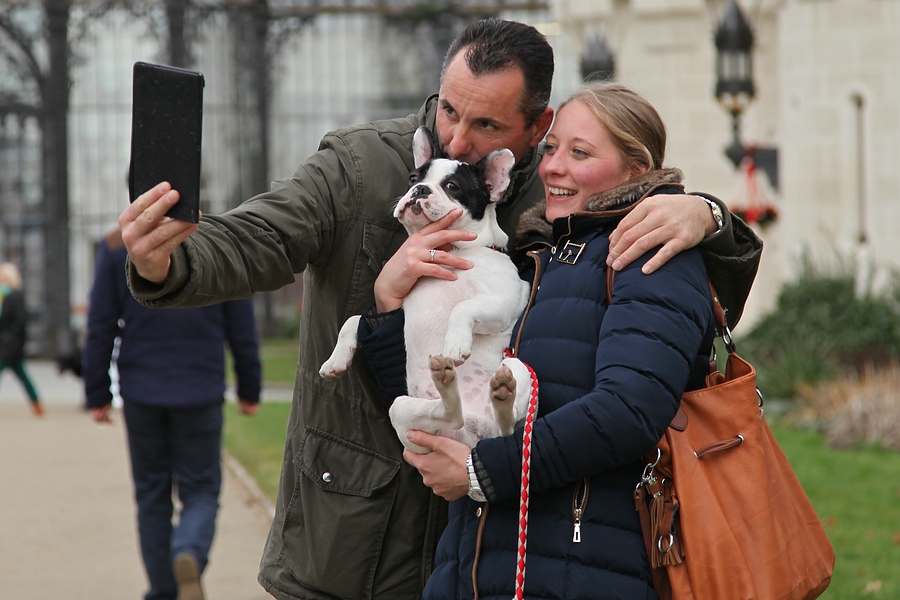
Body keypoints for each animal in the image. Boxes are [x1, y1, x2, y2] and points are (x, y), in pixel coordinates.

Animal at [319, 127, 533, 454]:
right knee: (450, 413)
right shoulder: (401, 305)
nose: (420, 190)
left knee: (506, 419)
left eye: (453, 186)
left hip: (518, 366)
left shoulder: (503, 302)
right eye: (413, 178)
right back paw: (452, 385)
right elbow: (353, 321)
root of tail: (478, 434)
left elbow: (463, 307)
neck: (451, 249)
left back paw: (496, 390)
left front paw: (455, 344)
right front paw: (336, 359)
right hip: (405, 412)